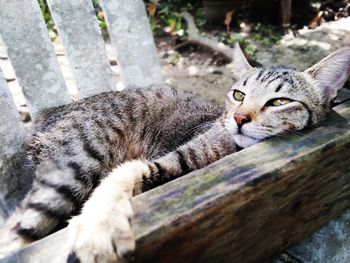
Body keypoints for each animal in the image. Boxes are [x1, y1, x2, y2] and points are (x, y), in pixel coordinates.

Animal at [0, 44, 350, 262]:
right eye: (239, 95)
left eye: (279, 102)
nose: (239, 118)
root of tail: (50, 113)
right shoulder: (173, 157)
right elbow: (121, 177)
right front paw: (101, 228)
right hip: (73, 168)